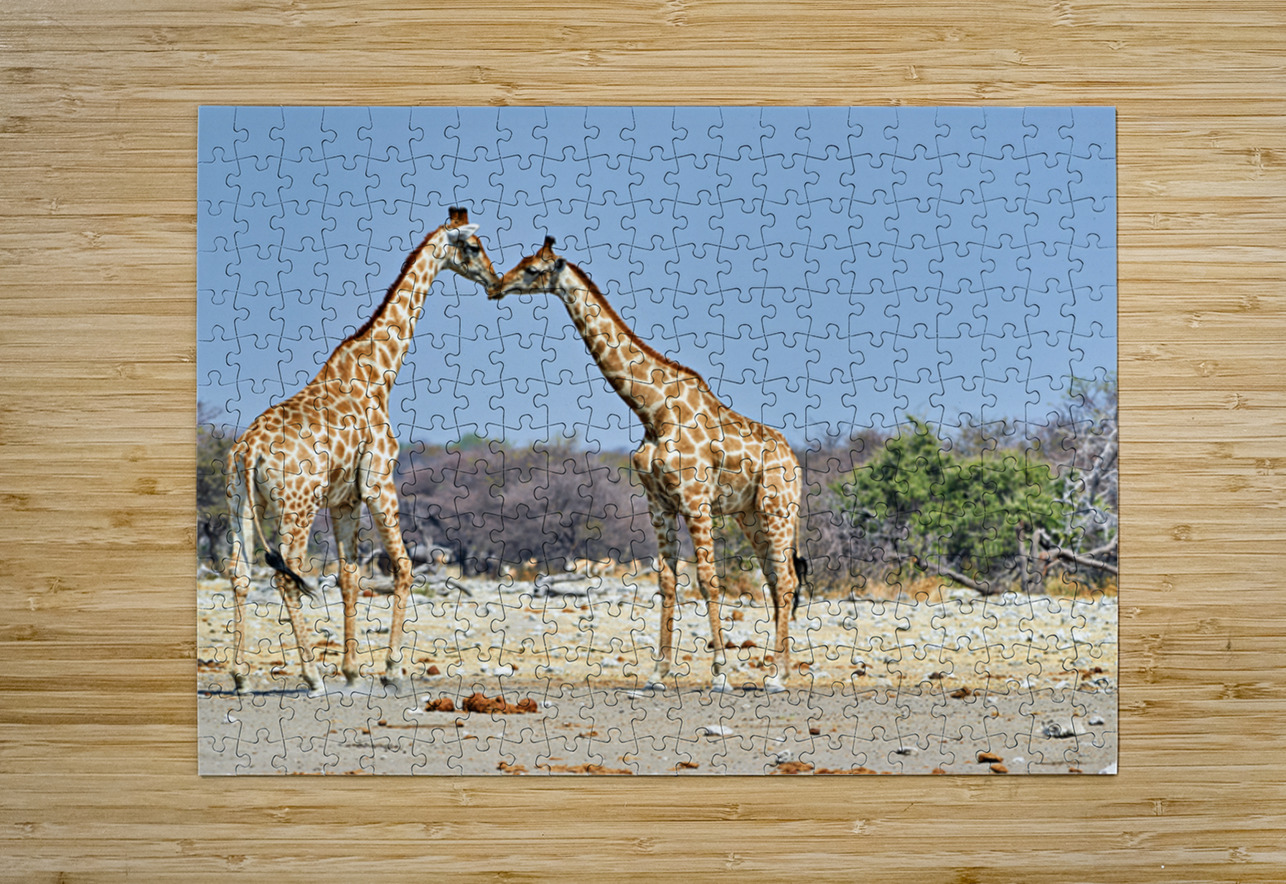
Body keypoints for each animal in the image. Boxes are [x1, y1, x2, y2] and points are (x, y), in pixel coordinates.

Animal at [225, 208, 497, 694]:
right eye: (472, 246)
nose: (493, 277)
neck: (376, 373)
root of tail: (249, 450)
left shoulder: (344, 499)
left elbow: (349, 576)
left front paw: (353, 670)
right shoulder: (378, 482)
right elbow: (403, 568)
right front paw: (391, 670)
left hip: (238, 502)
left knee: (240, 574)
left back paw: (240, 676)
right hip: (297, 506)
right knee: (286, 575)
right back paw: (312, 675)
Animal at [489, 238, 807, 693]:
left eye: (533, 269)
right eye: (521, 261)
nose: (496, 286)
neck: (653, 411)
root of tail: (794, 461)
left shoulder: (695, 502)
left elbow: (708, 581)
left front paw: (720, 674)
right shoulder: (659, 504)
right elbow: (667, 582)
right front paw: (658, 673)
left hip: (778, 508)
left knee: (785, 580)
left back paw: (779, 675)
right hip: (750, 514)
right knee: (774, 578)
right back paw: (776, 669)